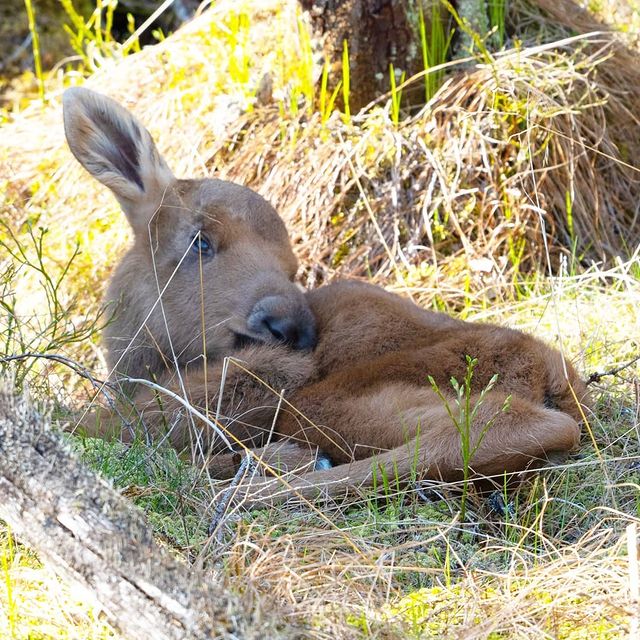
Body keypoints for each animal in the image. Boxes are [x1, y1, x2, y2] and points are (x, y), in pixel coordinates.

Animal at [63, 87, 589, 506]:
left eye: (291, 268)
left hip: (331, 403)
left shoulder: (253, 383)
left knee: (495, 429)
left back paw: (254, 484)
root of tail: (556, 376)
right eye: (200, 240)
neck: (135, 363)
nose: (290, 326)